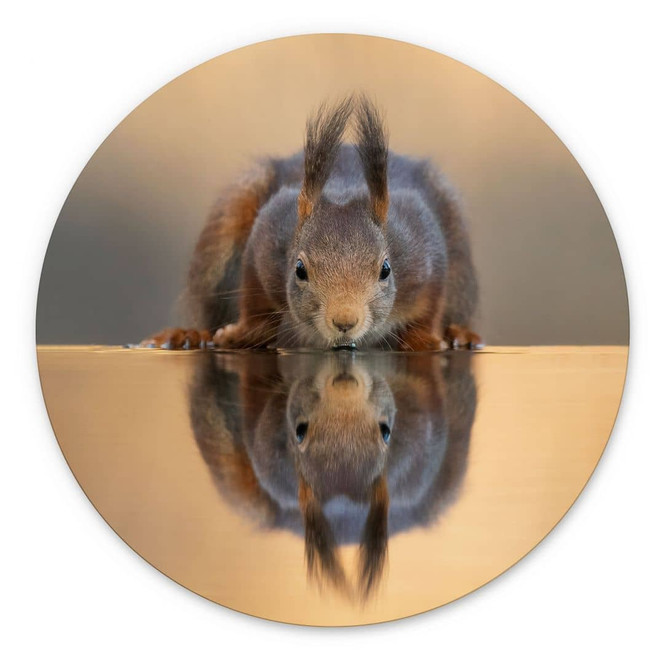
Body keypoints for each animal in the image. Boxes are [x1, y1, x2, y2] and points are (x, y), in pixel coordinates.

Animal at [142, 95, 482, 351]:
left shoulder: (423, 247)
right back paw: (188, 336)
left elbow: (431, 306)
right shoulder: (267, 237)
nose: (344, 322)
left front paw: (426, 339)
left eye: (385, 270)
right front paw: (241, 333)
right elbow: (254, 302)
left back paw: (460, 335)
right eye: (299, 270)